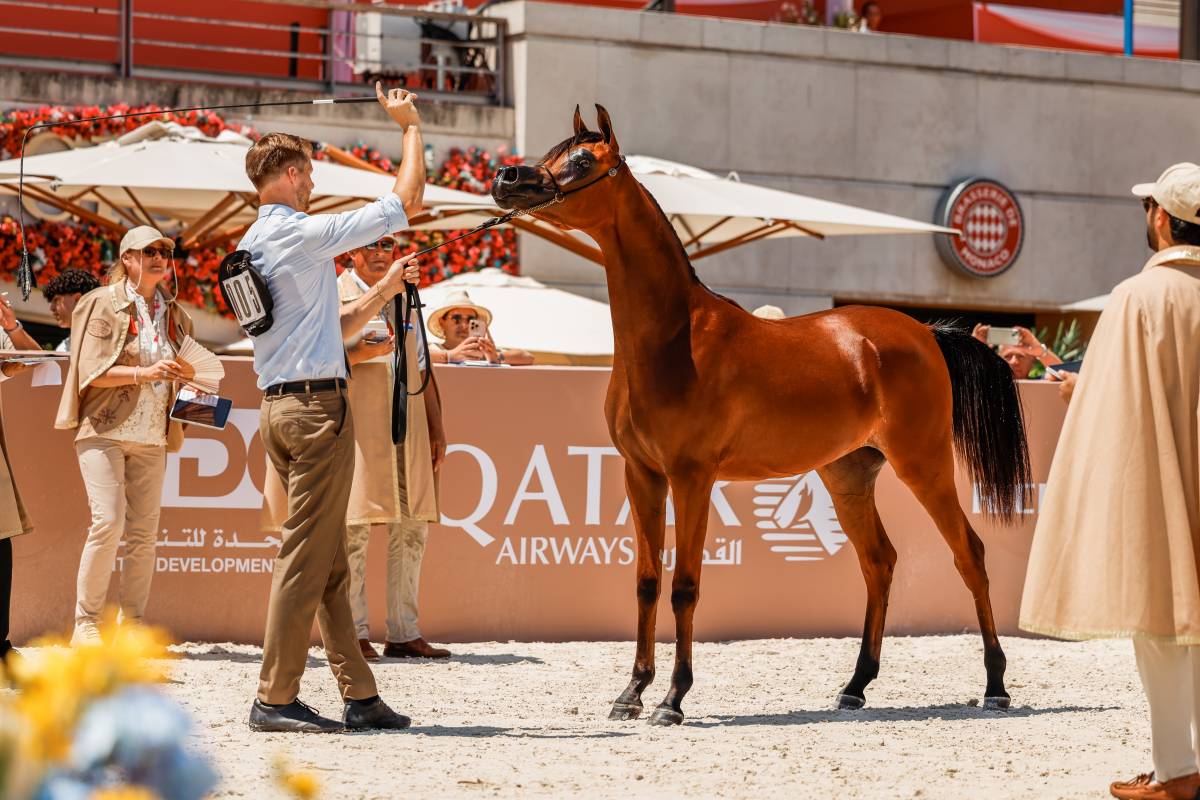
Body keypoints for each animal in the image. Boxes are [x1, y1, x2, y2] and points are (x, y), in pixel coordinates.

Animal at [491, 105, 1031, 726]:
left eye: (581, 161)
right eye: (551, 154)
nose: (507, 179)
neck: (675, 338)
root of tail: (926, 332)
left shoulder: (692, 477)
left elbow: (685, 585)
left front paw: (672, 699)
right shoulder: (641, 474)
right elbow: (647, 581)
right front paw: (631, 693)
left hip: (924, 464)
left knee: (969, 554)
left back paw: (995, 686)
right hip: (848, 475)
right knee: (879, 562)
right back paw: (855, 687)